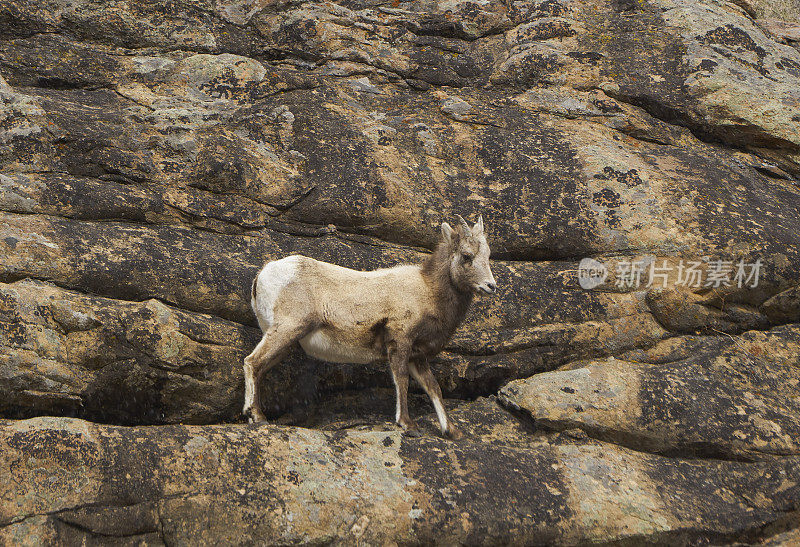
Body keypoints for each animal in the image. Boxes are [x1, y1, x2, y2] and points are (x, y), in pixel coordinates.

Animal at [241, 216, 496, 438]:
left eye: (488, 255)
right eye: (466, 255)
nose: (491, 286)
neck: (428, 291)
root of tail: (262, 275)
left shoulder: (417, 356)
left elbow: (433, 387)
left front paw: (452, 432)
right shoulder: (400, 343)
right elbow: (401, 380)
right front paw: (408, 424)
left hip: (285, 340)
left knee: (259, 367)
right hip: (287, 330)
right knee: (252, 362)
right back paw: (257, 417)